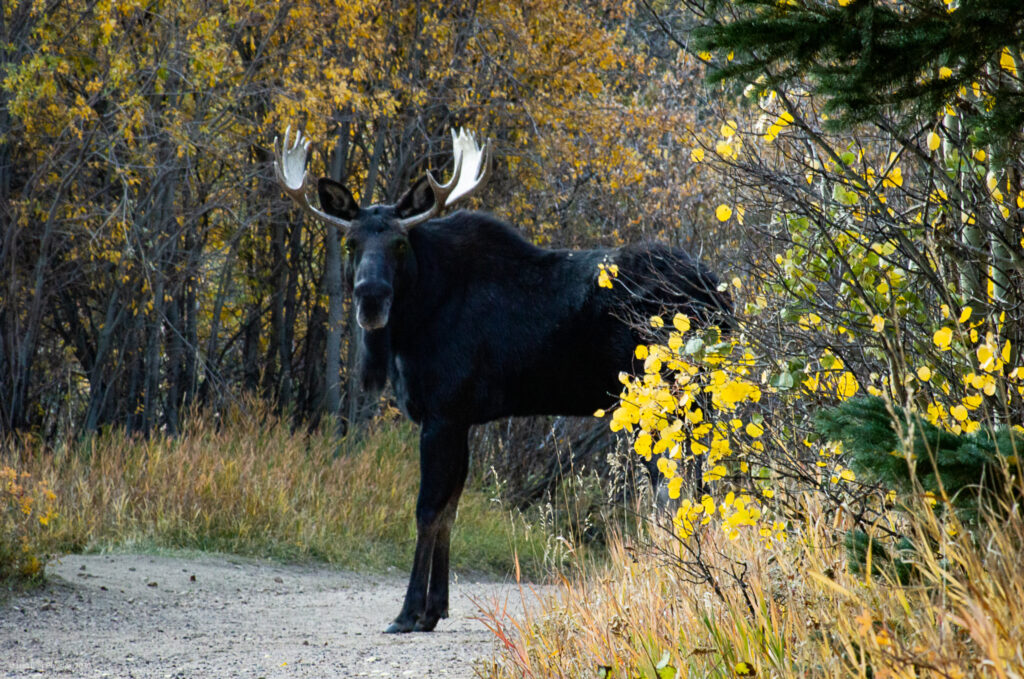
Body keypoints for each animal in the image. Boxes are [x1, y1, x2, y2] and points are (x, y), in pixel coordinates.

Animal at [274, 125, 729, 630]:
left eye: (399, 243)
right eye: (352, 243)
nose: (370, 298)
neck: (413, 322)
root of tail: (720, 295)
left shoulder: (442, 414)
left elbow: (427, 510)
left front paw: (409, 613)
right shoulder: (461, 419)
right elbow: (450, 510)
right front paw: (436, 609)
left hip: (668, 397)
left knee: (678, 491)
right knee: (699, 484)